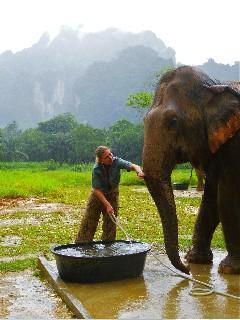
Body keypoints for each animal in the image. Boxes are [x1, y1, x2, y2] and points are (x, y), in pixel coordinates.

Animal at [143, 65, 239, 276]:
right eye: (144, 120)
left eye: (173, 121)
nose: (186, 270)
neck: (214, 85)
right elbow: (211, 196)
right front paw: (196, 260)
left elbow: (227, 194)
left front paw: (230, 269)